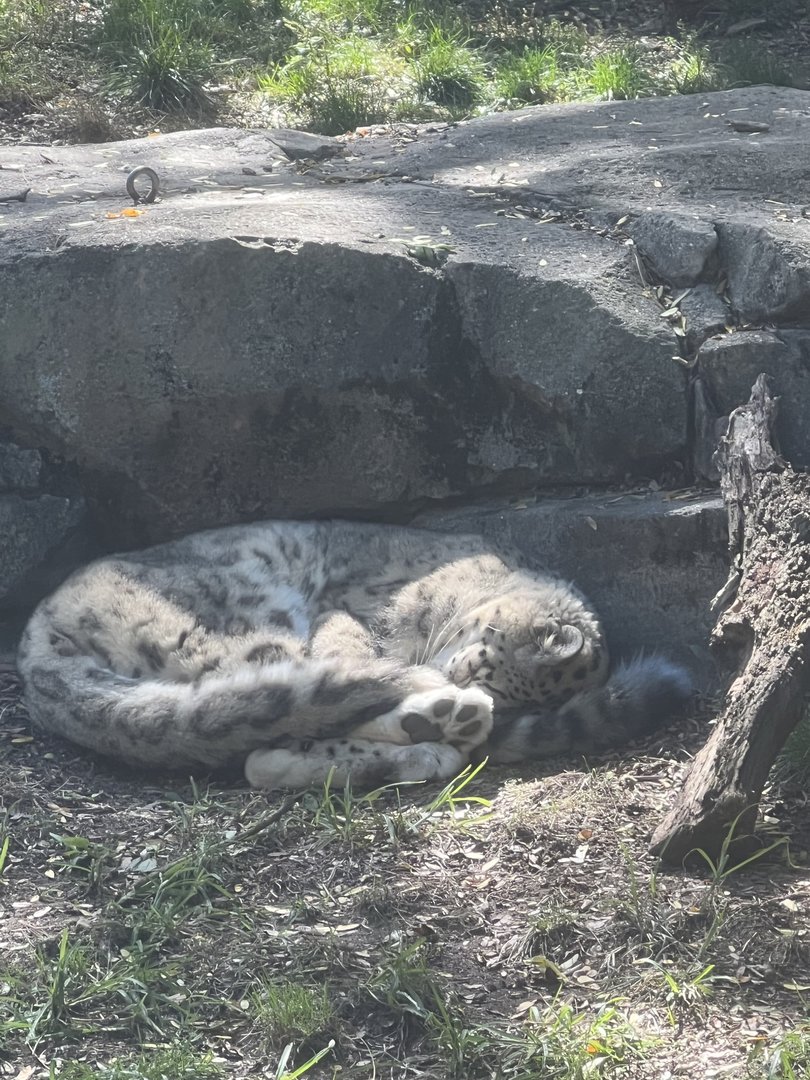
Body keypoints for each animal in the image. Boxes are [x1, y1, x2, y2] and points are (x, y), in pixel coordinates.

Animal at [17, 519, 692, 790]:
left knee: (264, 752)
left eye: (520, 697)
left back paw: (434, 737)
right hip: (253, 622)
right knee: (277, 733)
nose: (458, 679)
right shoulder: (355, 615)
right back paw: (440, 724)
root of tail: (35, 644)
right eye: (483, 664)